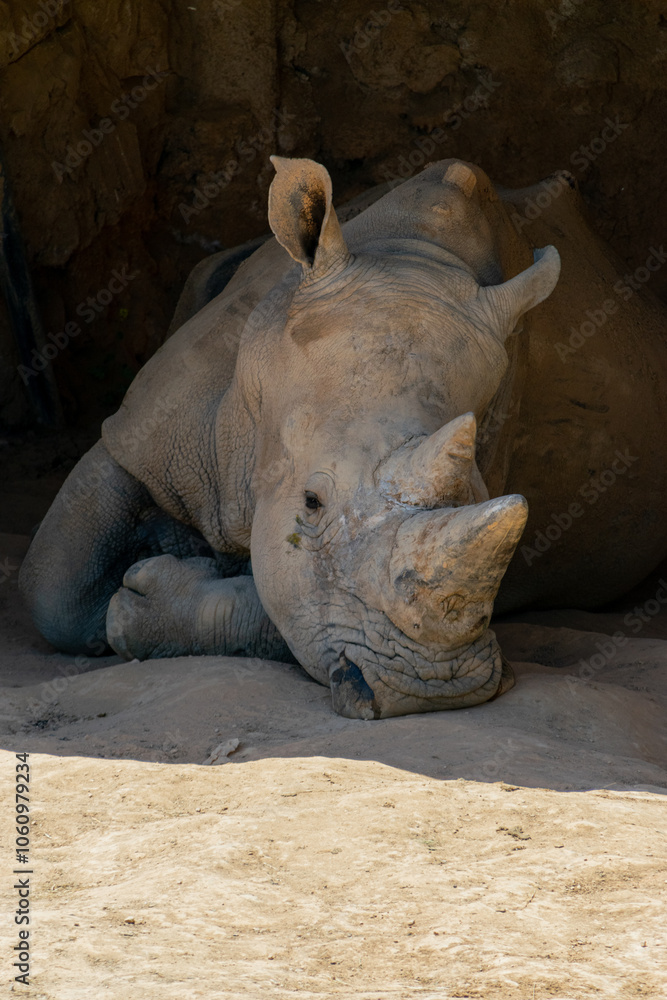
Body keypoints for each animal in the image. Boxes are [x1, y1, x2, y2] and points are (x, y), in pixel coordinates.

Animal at [19, 156, 667, 719]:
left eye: (481, 494)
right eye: (311, 502)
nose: (433, 688)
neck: (413, 255)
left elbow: (291, 602)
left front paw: (150, 596)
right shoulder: (137, 435)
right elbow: (54, 591)